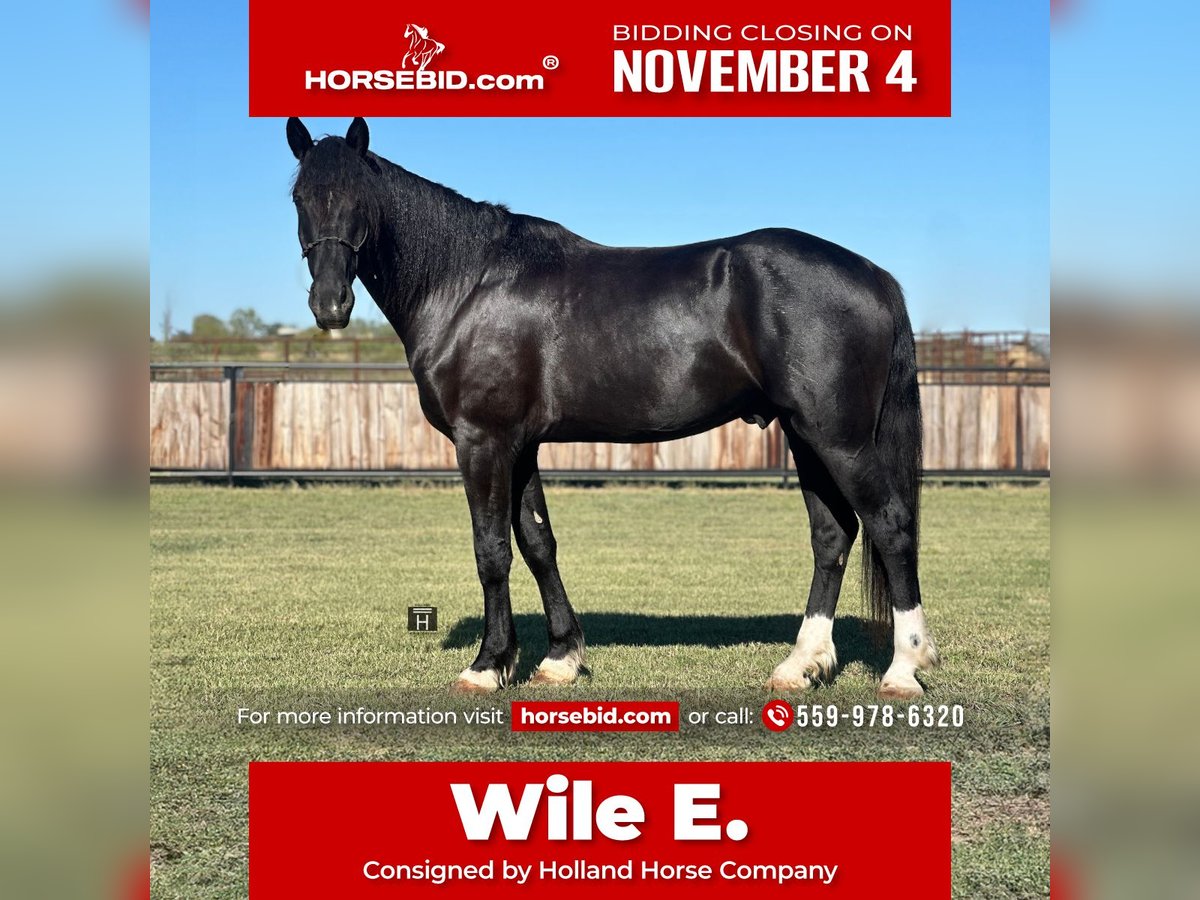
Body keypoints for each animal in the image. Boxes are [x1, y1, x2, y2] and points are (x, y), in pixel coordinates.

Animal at [283, 118, 936, 696]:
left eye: (359, 199)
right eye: (299, 196)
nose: (330, 304)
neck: (468, 285)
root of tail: (874, 276)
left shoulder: (483, 441)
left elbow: (492, 549)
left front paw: (487, 665)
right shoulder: (521, 444)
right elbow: (537, 542)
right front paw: (559, 659)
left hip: (840, 438)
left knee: (891, 524)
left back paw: (903, 669)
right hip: (807, 437)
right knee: (833, 535)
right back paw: (801, 665)